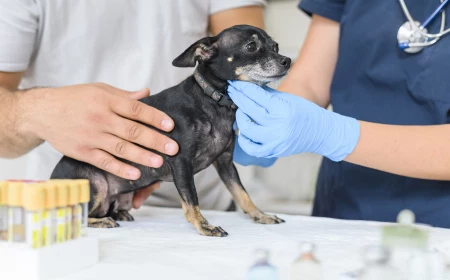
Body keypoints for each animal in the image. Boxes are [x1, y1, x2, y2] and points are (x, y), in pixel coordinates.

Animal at [51, 25, 292, 237]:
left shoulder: (225, 163)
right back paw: (101, 221)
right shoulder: (181, 162)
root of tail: (52, 181)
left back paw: (119, 214)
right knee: (79, 215)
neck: (214, 102)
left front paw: (260, 215)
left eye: (276, 46)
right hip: (97, 186)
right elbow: (192, 201)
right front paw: (205, 226)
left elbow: (242, 193)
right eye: (251, 47)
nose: (287, 60)